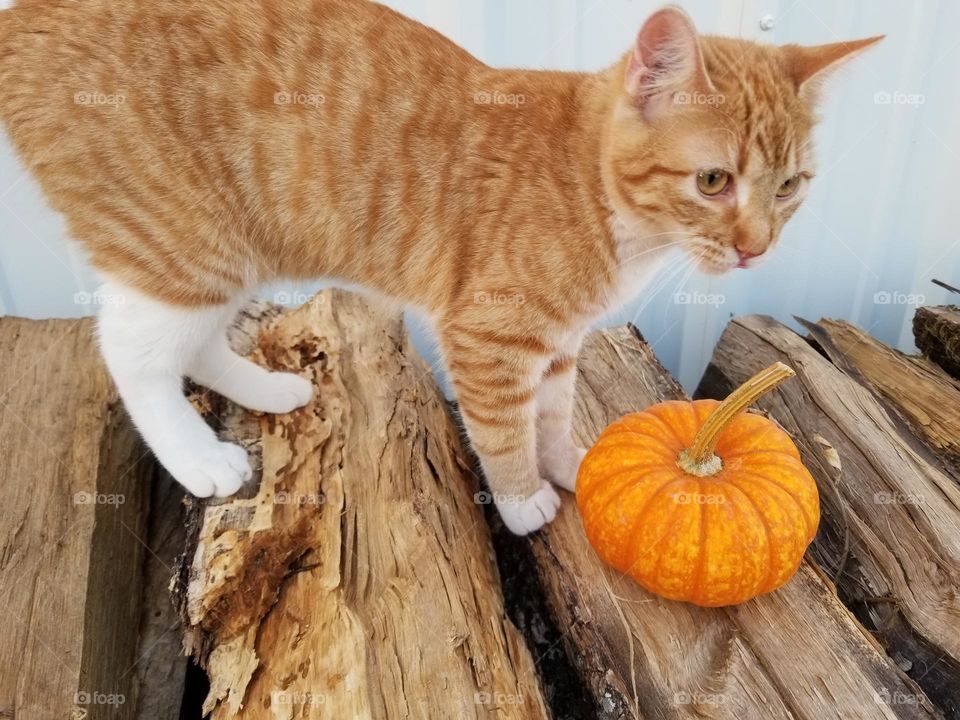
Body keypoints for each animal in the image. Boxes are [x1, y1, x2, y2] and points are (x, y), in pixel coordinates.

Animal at [0, 1, 876, 536]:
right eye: (714, 181)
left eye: (790, 186)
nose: (756, 247)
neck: (602, 197)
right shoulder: (488, 336)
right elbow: (503, 427)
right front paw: (523, 497)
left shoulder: (557, 343)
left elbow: (550, 412)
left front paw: (566, 461)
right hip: (185, 239)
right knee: (130, 351)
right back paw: (198, 457)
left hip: (232, 244)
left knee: (195, 339)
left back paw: (267, 390)